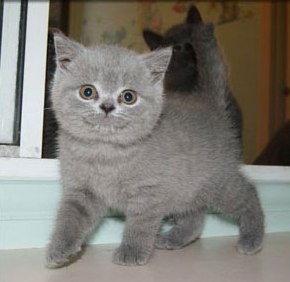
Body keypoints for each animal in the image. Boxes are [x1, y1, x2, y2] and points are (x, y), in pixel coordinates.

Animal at [46, 23, 264, 268]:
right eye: (87, 91)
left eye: (128, 96)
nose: (107, 107)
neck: (105, 153)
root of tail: (210, 106)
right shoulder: (82, 191)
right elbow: (70, 219)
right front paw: (59, 250)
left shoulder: (149, 192)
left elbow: (141, 224)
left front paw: (131, 252)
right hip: (186, 188)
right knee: (195, 217)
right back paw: (175, 238)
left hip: (217, 181)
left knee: (248, 193)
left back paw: (252, 238)